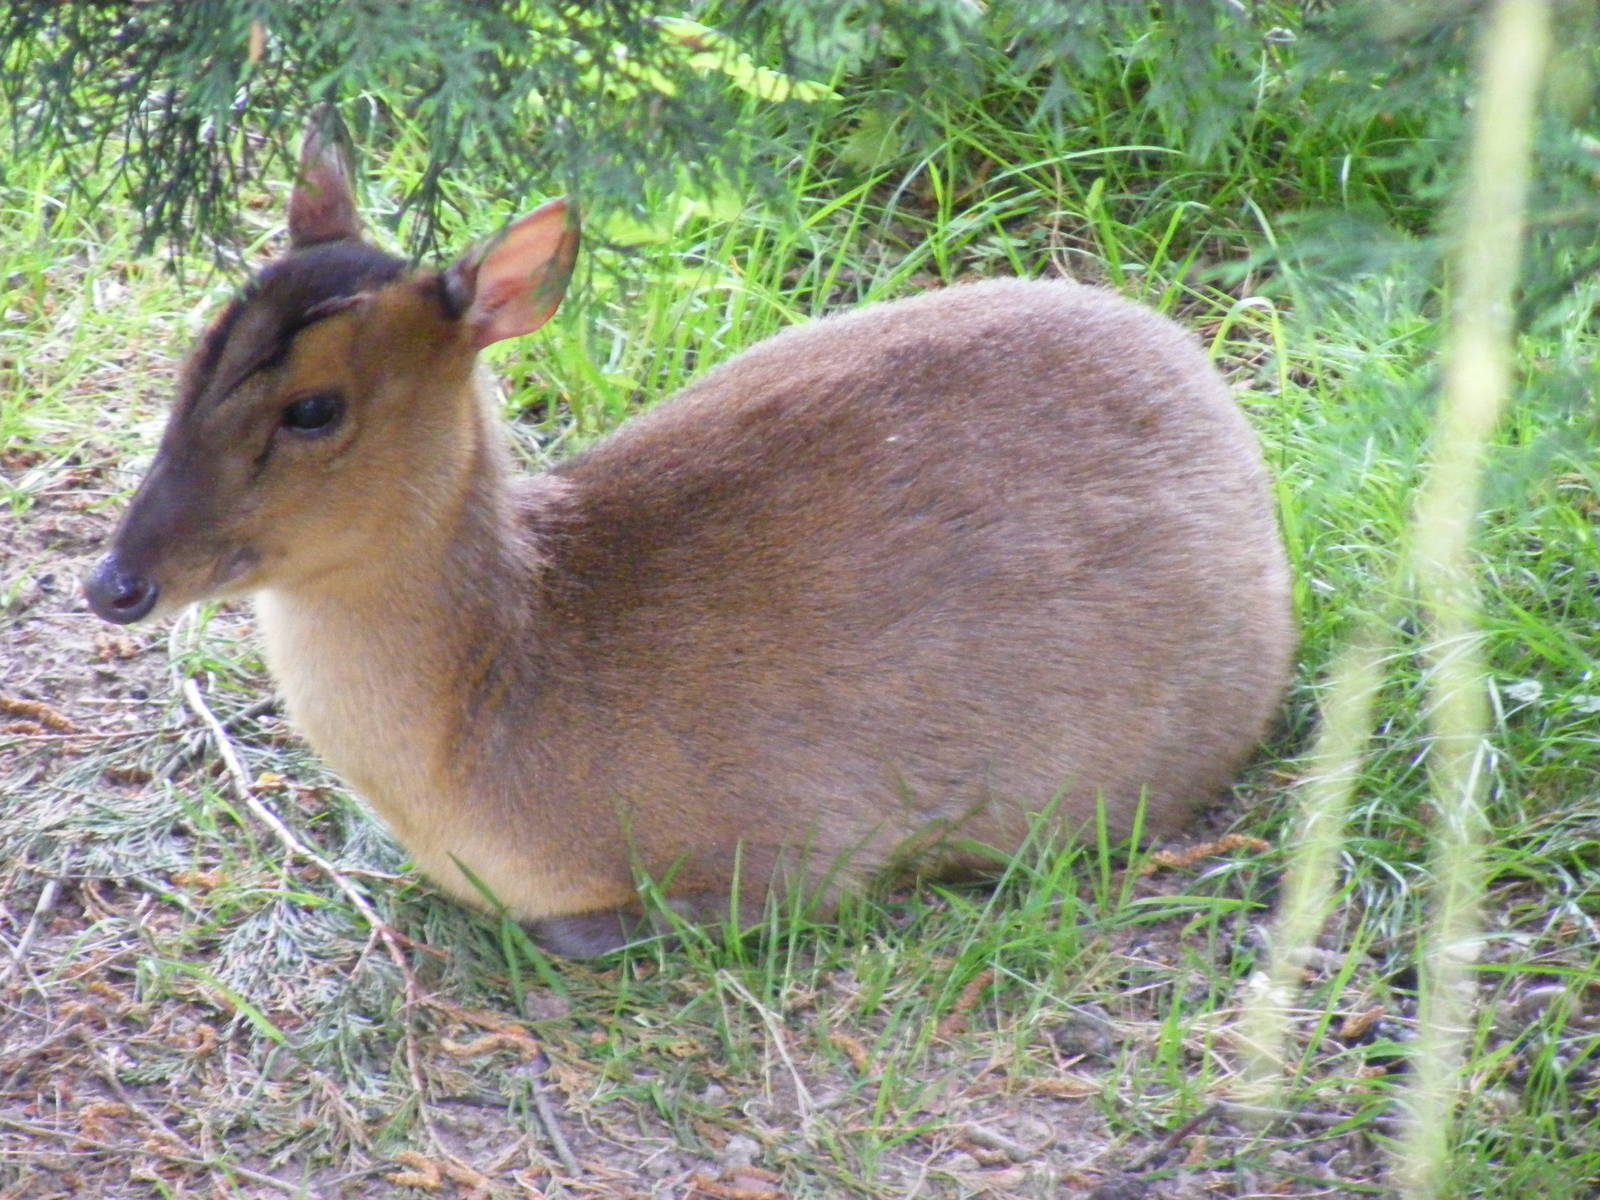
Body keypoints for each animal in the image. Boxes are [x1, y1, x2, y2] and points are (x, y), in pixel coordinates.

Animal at [86, 111, 1295, 956]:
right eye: (201, 345)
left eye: (313, 409)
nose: (116, 581)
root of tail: (1212, 398)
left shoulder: (804, 845)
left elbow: (591, 928)